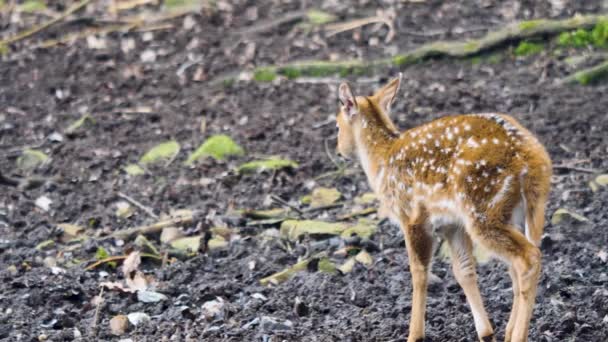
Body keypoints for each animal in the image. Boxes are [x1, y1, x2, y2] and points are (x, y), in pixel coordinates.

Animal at [334, 75, 552, 342]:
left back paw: (518, 335)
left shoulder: (413, 215)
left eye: (337, 125)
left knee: (528, 258)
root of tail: (534, 159)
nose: (339, 151)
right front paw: (485, 332)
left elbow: (419, 273)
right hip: (517, 212)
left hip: (483, 207)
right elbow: (463, 270)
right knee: (517, 265)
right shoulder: (452, 224)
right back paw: (509, 332)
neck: (381, 161)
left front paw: (414, 335)